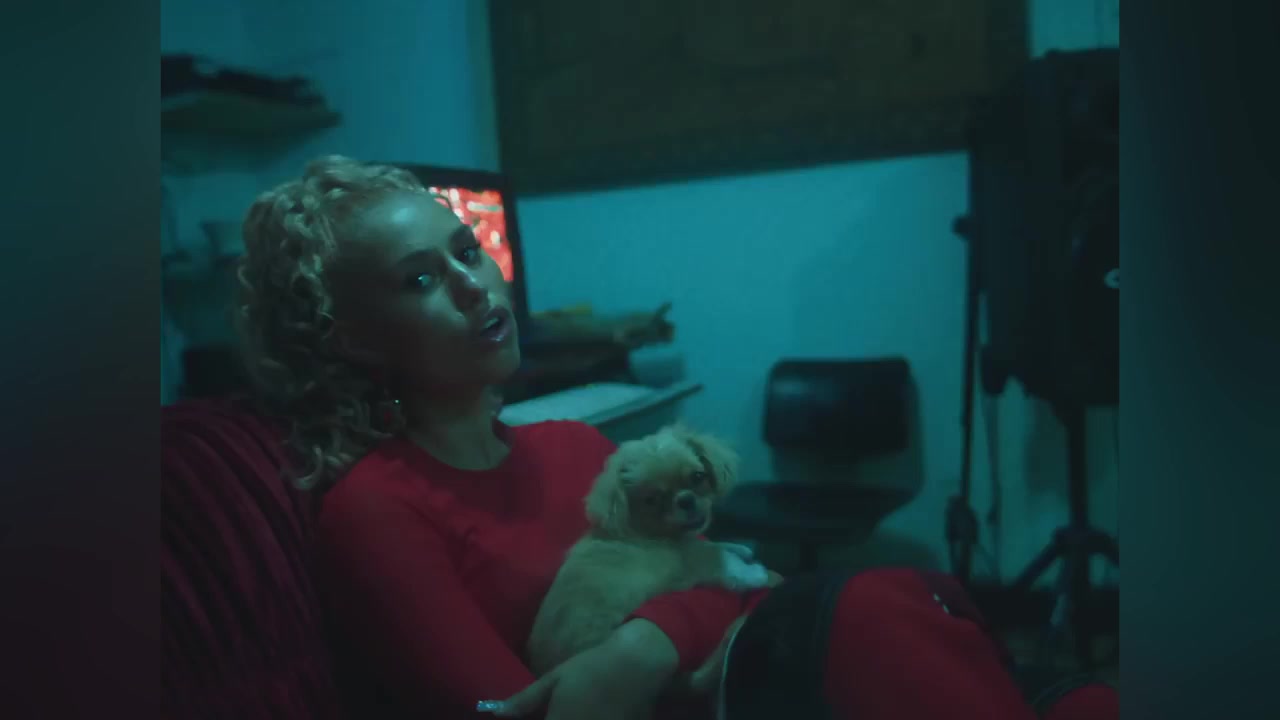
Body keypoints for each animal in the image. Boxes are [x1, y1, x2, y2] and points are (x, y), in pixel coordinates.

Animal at [525, 424, 777, 678]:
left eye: (698, 477)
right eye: (652, 499)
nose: (686, 500)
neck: (645, 529)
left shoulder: (690, 544)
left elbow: (715, 544)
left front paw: (740, 548)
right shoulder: (693, 562)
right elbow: (724, 560)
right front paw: (755, 573)